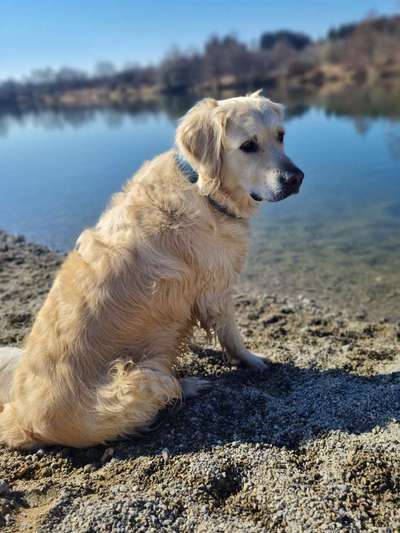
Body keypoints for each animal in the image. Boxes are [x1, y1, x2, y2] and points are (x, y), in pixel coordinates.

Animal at [0, 91, 304, 448]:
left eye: (281, 136)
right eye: (248, 146)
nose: (295, 178)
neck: (202, 187)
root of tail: (24, 420)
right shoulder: (217, 288)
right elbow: (232, 335)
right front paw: (253, 360)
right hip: (138, 381)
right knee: (159, 395)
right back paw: (188, 385)